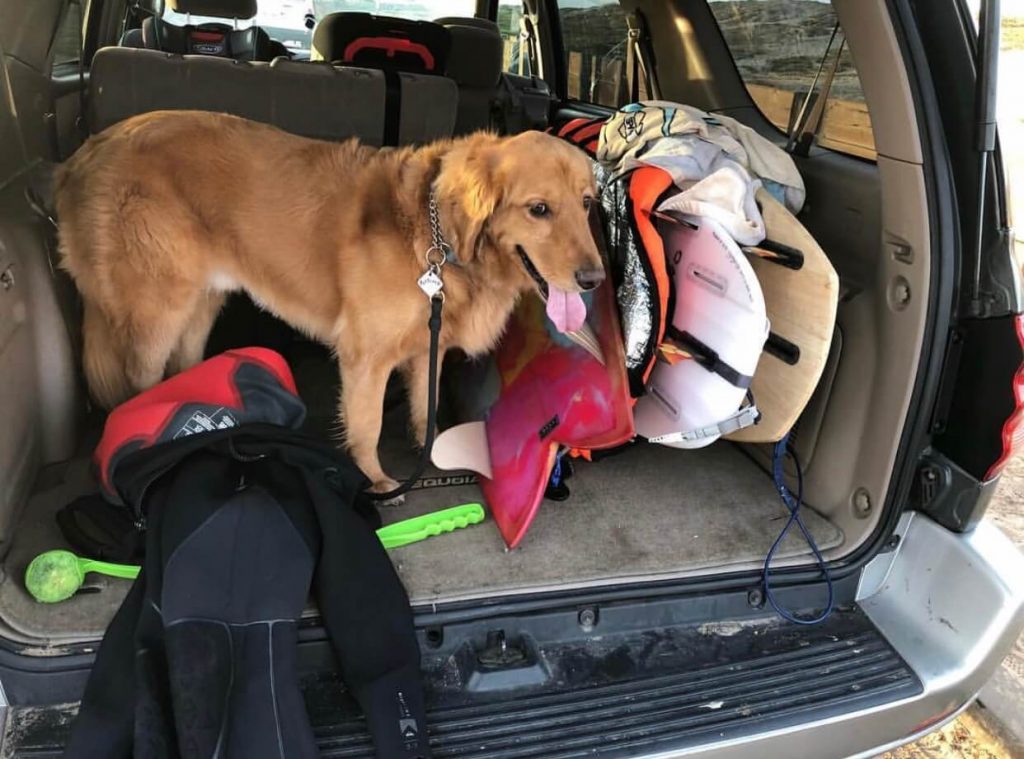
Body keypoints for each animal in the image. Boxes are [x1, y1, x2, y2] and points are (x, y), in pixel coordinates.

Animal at [54, 111, 598, 491]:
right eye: (539, 209)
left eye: (588, 203)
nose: (594, 278)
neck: (438, 238)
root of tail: (84, 154)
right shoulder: (366, 356)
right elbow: (367, 422)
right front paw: (377, 480)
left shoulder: (429, 344)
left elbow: (425, 405)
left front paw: (429, 449)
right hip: (157, 309)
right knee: (140, 381)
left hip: (201, 303)